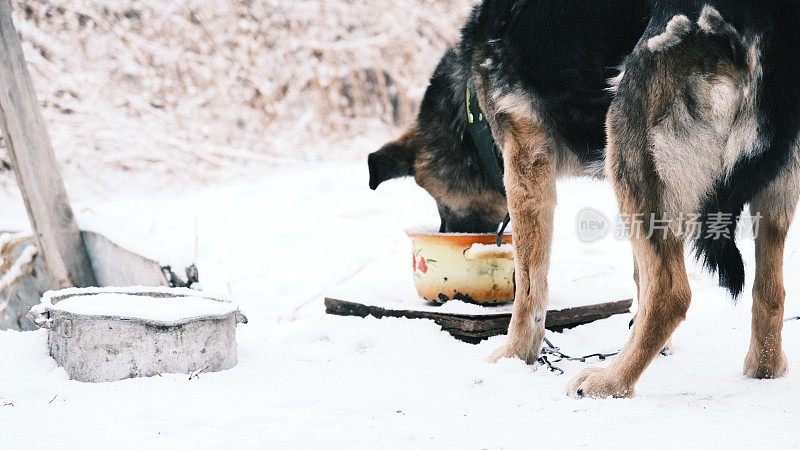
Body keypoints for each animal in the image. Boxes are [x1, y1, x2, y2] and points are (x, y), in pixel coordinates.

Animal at [368, 1, 800, 400]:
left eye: (437, 198)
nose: (450, 234)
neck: (470, 104)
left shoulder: (526, 163)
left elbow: (530, 288)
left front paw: (514, 356)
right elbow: (638, 277)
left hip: (626, 140)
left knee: (670, 293)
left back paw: (613, 381)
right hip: (764, 190)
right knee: (769, 291)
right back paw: (764, 366)